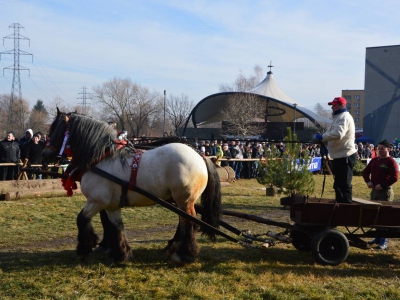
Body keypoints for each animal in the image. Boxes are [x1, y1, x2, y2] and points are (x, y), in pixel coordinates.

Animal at [43, 109, 222, 264]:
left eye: (55, 129)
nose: (45, 154)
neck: (102, 158)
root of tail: (199, 155)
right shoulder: (111, 205)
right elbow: (117, 227)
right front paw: (120, 253)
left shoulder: (96, 201)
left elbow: (81, 219)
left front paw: (85, 248)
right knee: (184, 222)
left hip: (184, 199)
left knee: (189, 222)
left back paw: (185, 254)